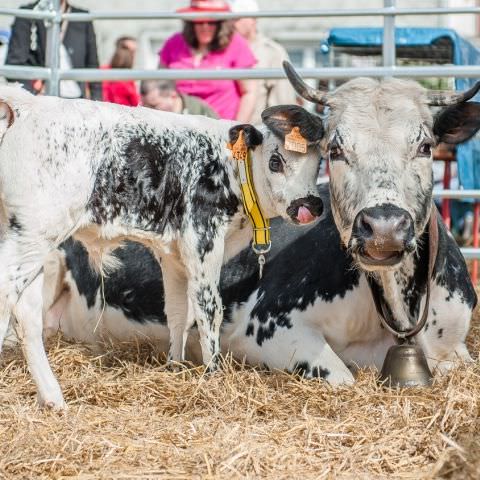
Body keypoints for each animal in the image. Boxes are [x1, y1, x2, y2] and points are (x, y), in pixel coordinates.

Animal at [41, 66, 480, 390]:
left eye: (425, 146)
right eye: (336, 150)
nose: (384, 226)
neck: (395, 305)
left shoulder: (454, 346)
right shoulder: (268, 326)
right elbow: (342, 377)